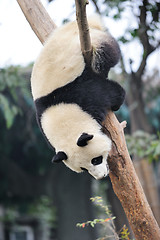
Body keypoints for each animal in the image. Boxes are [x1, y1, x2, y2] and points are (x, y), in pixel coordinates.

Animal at [31, 15, 125, 179]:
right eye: (84, 169)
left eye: (96, 159)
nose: (102, 176)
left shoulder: (82, 91)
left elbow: (106, 92)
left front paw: (117, 102)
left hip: (95, 42)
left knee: (107, 55)